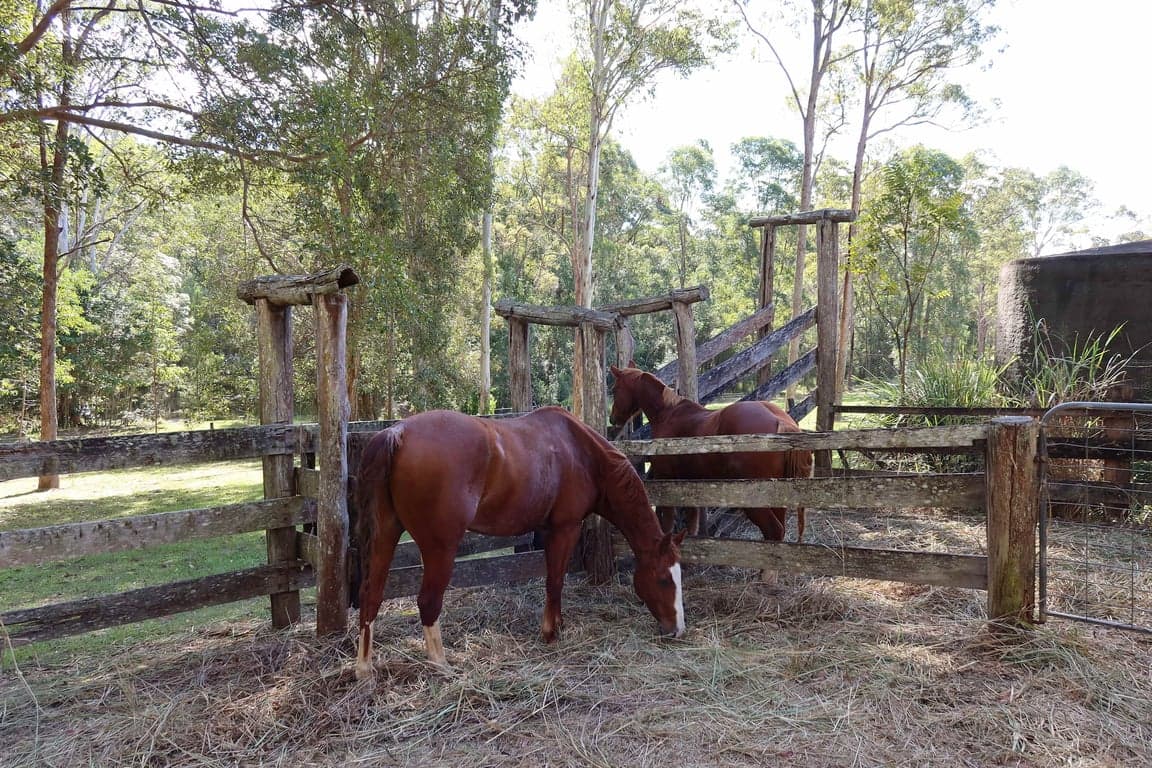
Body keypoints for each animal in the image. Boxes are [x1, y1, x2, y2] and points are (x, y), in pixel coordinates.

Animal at [353, 406, 686, 679]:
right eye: (663, 579)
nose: (677, 630)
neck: (581, 452)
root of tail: (398, 433)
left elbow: (554, 580)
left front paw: (557, 625)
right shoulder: (565, 528)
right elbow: (555, 581)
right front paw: (550, 633)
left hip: (386, 534)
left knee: (371, 595)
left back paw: (364, 670)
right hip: (440, 548)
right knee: (427, 601)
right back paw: (441, 665)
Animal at [608, 364, 813, 543]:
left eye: (615, 389)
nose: (612, 419)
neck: (668, 413)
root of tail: (781, 421)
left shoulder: (665, 480)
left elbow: (667, 524)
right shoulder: (689, 482)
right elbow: (691, 525)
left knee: (773, 531)